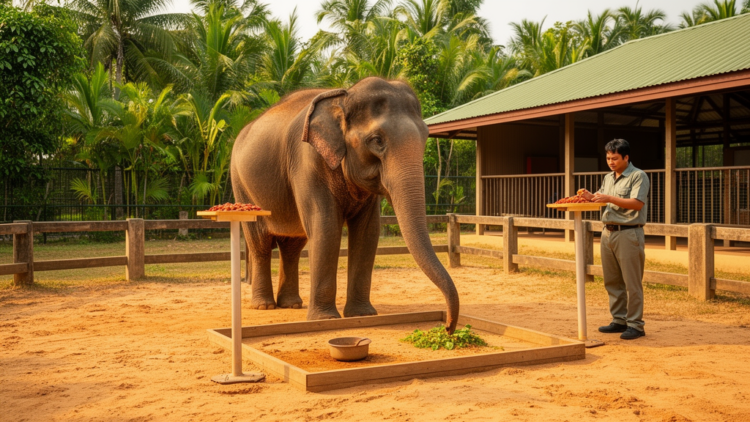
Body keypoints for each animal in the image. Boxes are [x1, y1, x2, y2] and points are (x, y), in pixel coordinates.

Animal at [230, 77, 459, 333]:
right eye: (377, 140)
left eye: (425, 137)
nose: (448, 327)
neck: (345, 96)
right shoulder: (307, 161)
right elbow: (326, 227)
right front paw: (325, 320)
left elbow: (368, 232)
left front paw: (362, 315)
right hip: (241, 185)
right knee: (259, 242)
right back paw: (264, 306)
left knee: (292, 246)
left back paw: (291, 305)